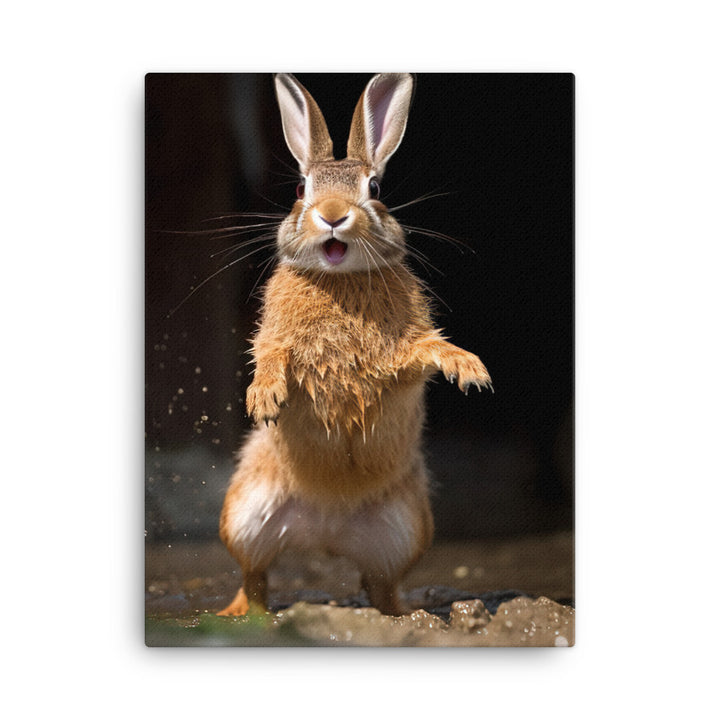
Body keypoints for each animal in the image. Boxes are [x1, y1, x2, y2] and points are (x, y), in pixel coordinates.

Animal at [218, 73, 492, 617]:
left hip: (405, 529)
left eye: (375, 188)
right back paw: (236, 613)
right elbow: (272, 354)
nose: (332, 215)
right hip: (244, 513)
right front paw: (265, 398)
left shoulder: (401, 357)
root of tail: (326, 528)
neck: (339, 278)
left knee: (380, 584)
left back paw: (406, 615)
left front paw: (468, 368)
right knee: (254, 577)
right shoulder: (274, 337)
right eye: (301, 188)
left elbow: (422, 353)